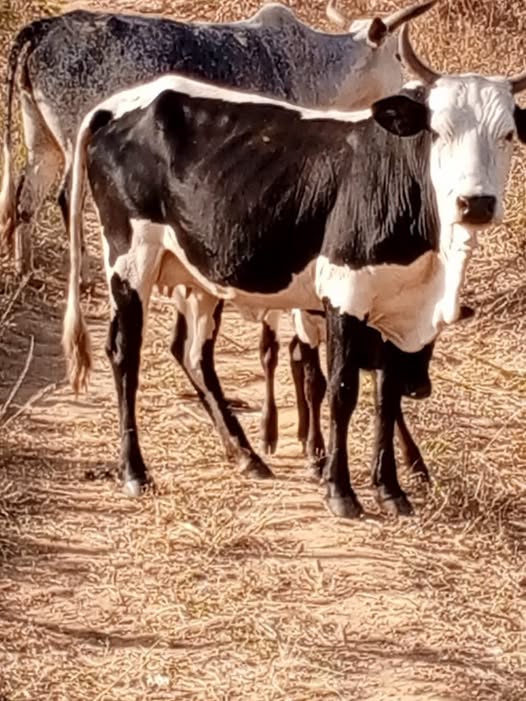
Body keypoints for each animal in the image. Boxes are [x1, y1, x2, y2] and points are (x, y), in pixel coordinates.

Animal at [0, 0, 437, 466]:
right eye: (396, 56)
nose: (414, 89)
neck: (312, 64)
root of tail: (42, 28)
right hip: (71, 139)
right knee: (66, 197)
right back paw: (80, 277)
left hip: (42, 141)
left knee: (25, 198)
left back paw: (24, 270)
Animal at [61, 25, 526, 520]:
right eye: (438, 132)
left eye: (508, 135)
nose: (475, 203)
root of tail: (120, 105)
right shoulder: (344, 295)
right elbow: (342, 389)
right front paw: (341, 491)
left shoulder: (396, 310)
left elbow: (387, 395)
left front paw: (391, 490)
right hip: (130, 257)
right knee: (124, 353)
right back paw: (135, 470)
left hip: (200, 277)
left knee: (194, 355)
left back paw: (246, 455)